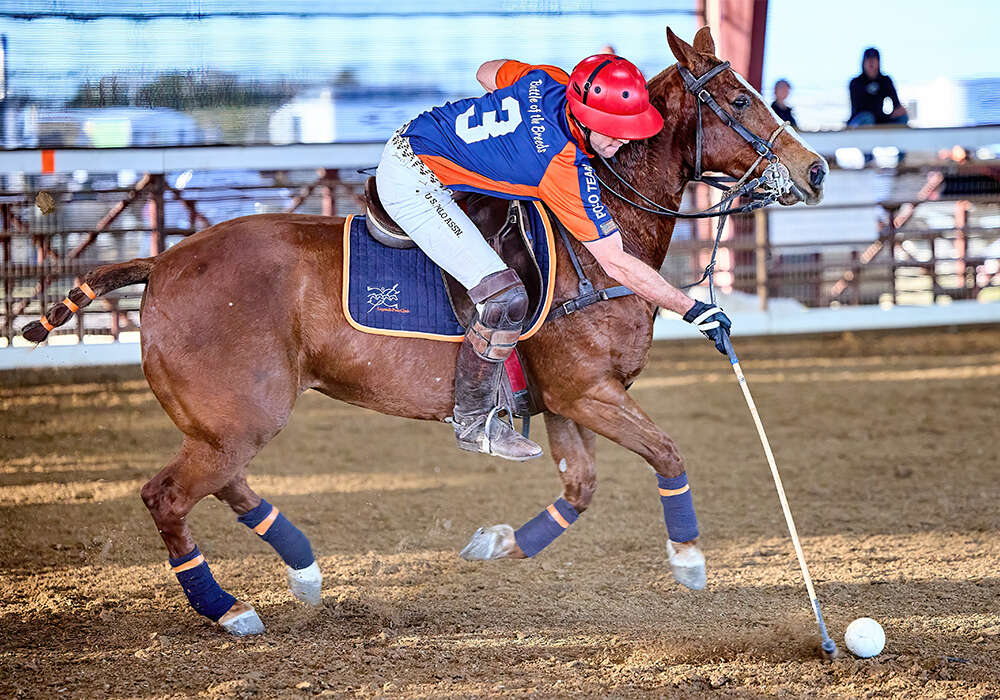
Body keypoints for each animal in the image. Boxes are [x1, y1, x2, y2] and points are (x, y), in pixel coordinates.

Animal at [23, 28, 828, 636]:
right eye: (738, 98)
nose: (816, 170)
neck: (601, 242)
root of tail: (160, 261)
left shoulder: (566, 400)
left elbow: (581, 487)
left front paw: (494, 543)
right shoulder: (586, 390)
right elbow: (666, 452)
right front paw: (689, 561)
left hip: (225, 420)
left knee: (226, 486)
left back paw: (304, 569)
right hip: (241, 414)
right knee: (168, 496)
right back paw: (229, 610)